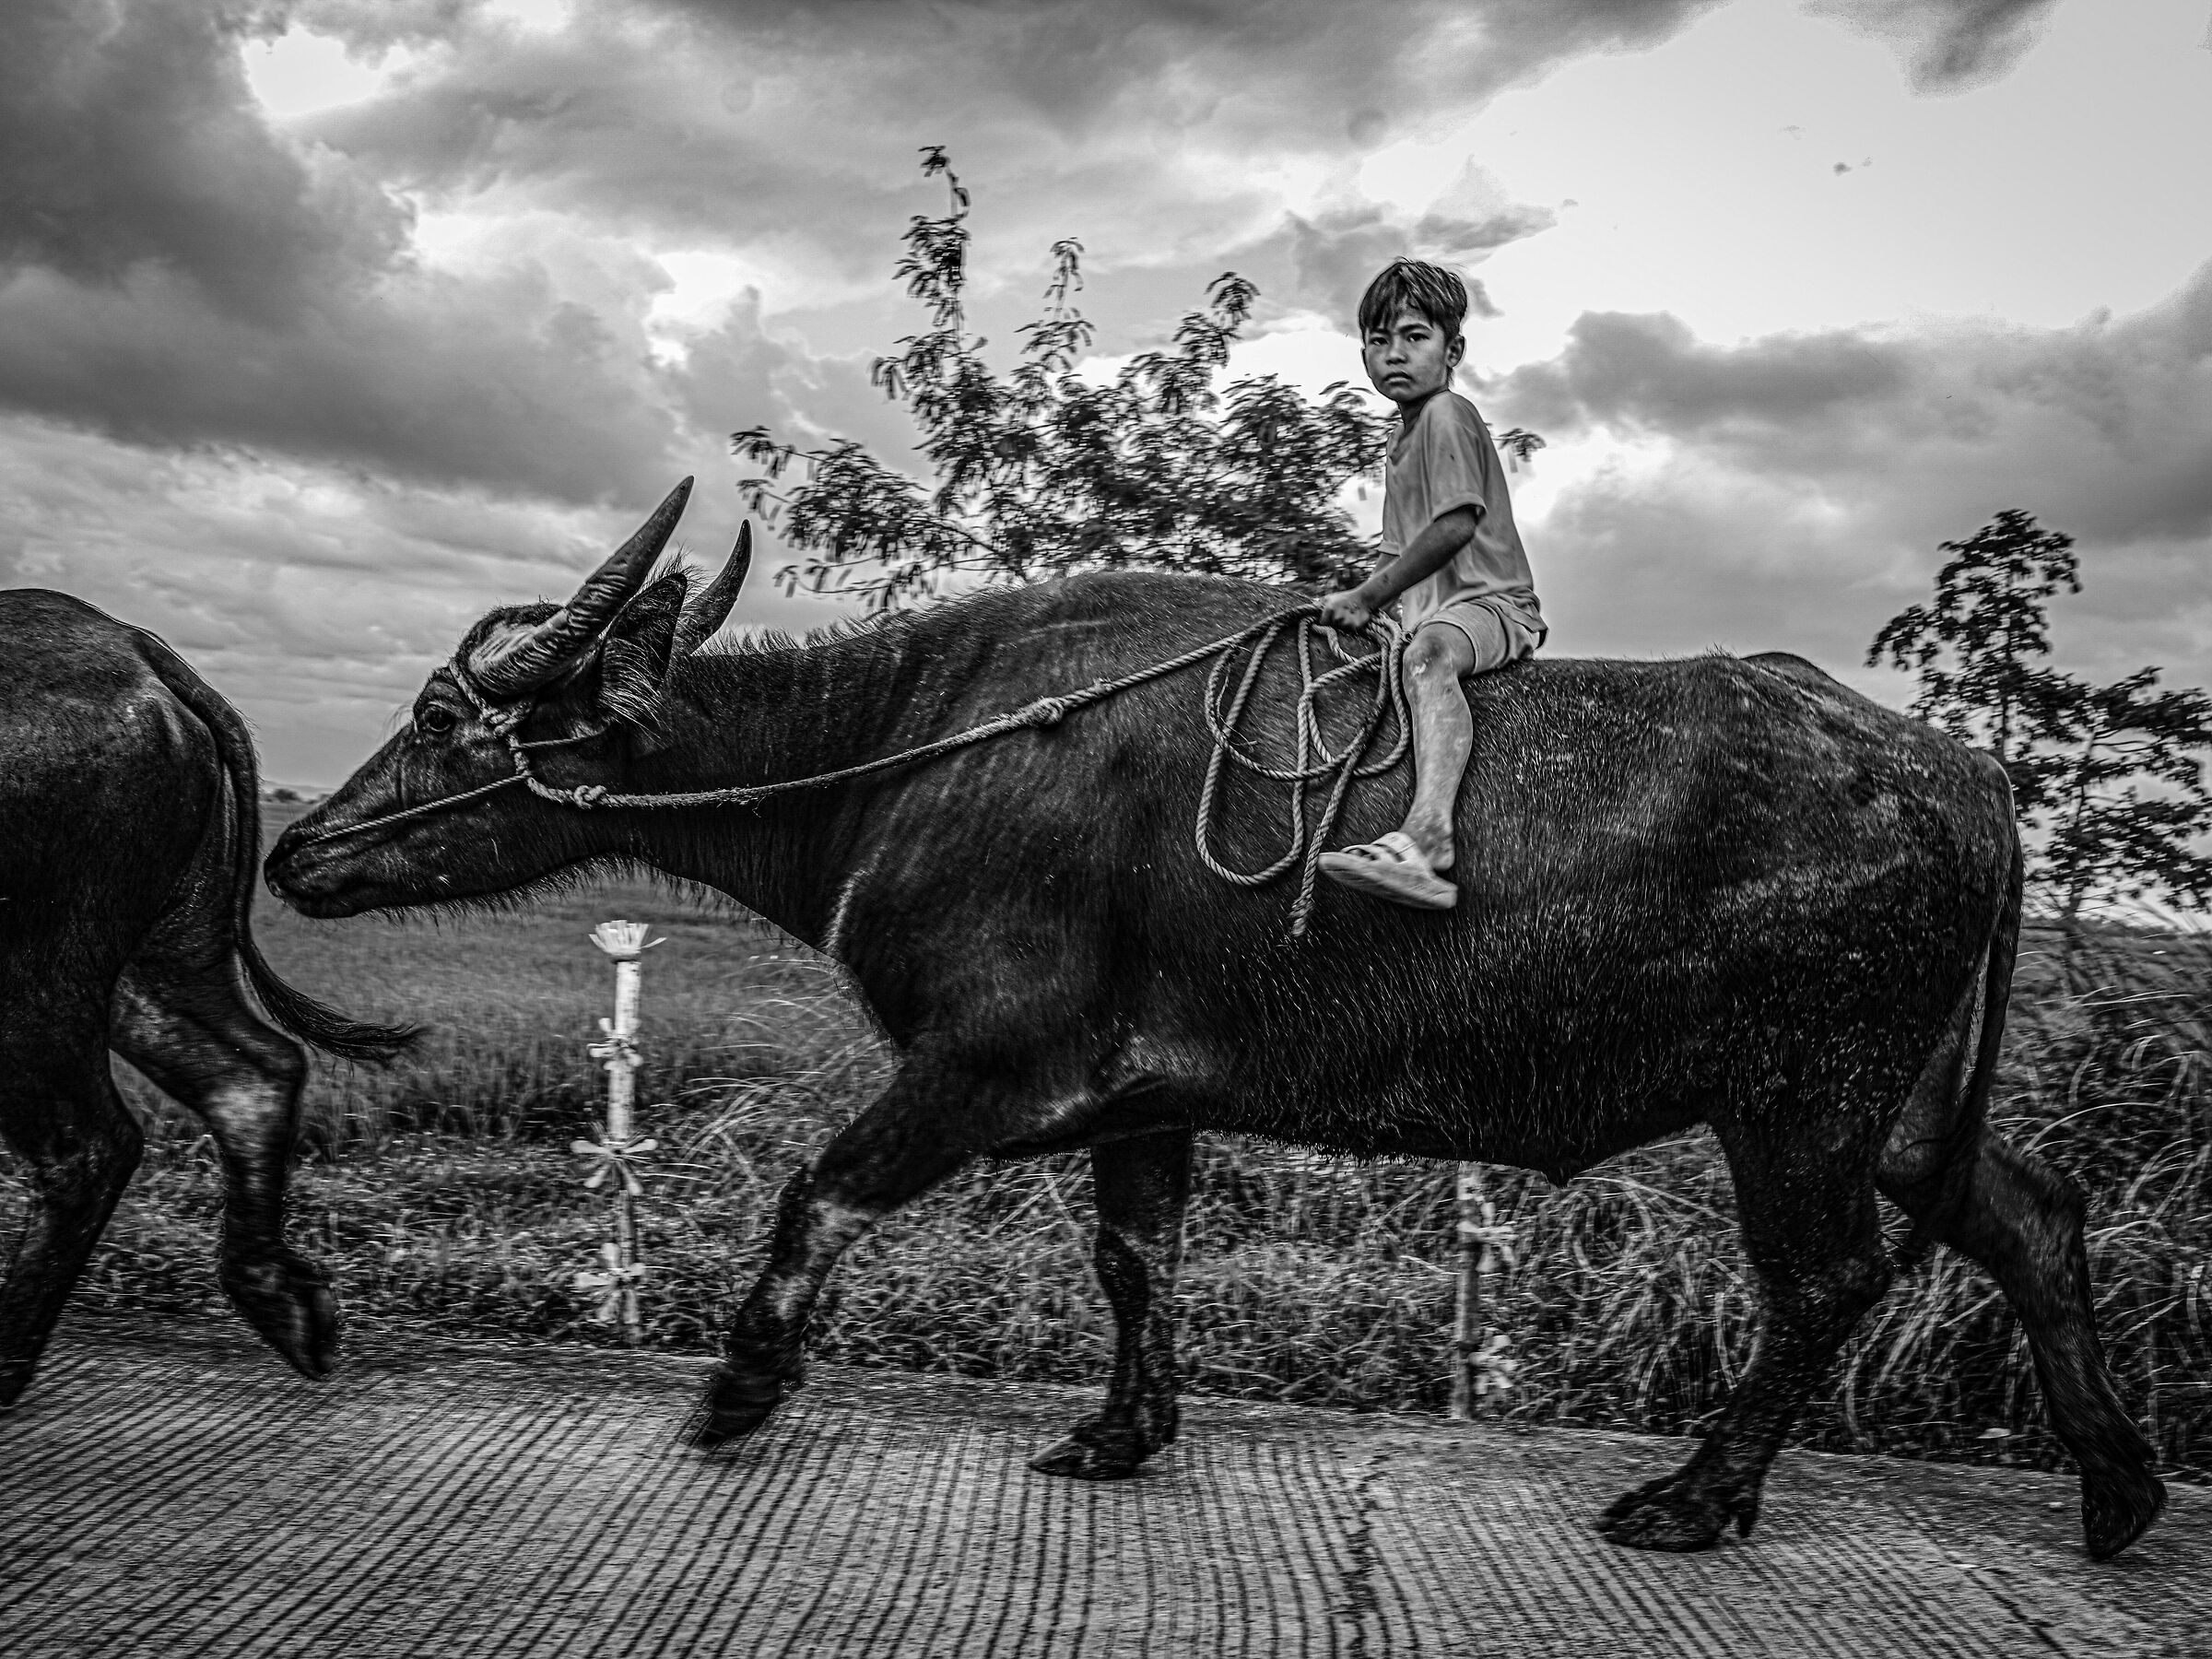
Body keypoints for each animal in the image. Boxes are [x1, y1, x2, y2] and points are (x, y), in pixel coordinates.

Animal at [0, 591, 410, 1409]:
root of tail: (138, 651)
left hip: (34, 971)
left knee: (85, 1148)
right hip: (163, 953)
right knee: (253, 1071)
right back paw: (291, 1306)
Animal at [268, 481, 2164, 1559]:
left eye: (446, 725)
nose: (294, 847)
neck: (910, 746)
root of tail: (1965, 772)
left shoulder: (989, 1068)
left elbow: (819, 1192)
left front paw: (739, 1389)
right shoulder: (1145, 1104)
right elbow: (1137, 1262)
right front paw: (1122, 1433)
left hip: (1801, 1103)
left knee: (1830, 1279)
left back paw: (1701, 1498)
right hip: (1902, 1102)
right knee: (2029, 1216)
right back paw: (2119, 1489)